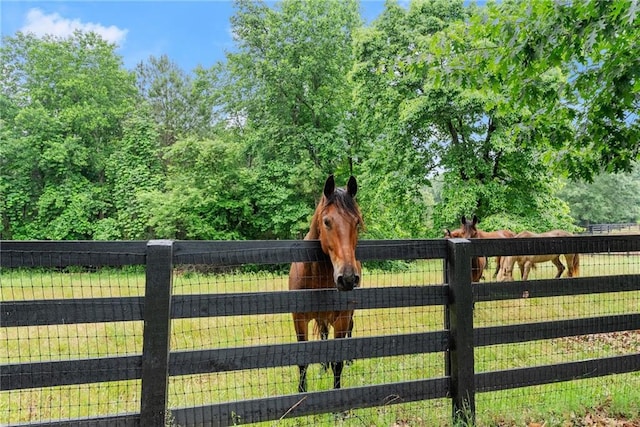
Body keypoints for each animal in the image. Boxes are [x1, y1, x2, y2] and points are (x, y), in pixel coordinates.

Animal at [288, 175, 362, 394]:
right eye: (327, 221)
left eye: (357, 222)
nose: (347, 277)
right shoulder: (299, 319)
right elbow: (303, 361)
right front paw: (302, 392)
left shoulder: (342, 318)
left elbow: (338, 361)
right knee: (322, 334)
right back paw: (322, 367)